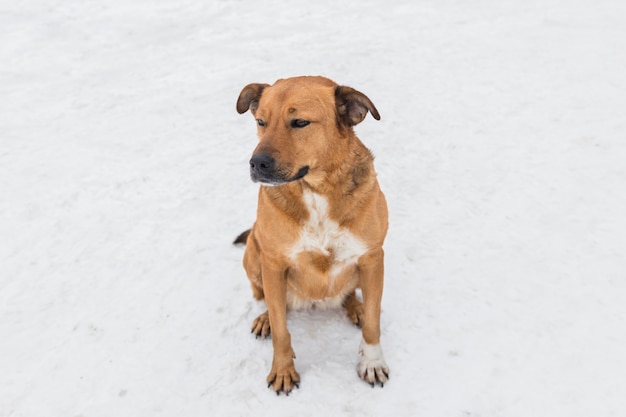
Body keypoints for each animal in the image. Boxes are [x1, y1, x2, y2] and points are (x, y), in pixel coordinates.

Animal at [235, 75, 390, 394]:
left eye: (300, 122)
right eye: (260, 121)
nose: (257, 163)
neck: (315, 190)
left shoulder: (372, 258)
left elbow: (373, 323)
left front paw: (372, 363)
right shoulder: (274, 263)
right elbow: (282, 330)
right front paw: (283, 370)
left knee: (351, 295)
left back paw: (356, 307)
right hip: (254, 254)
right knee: (267, 299)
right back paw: (265, 318)